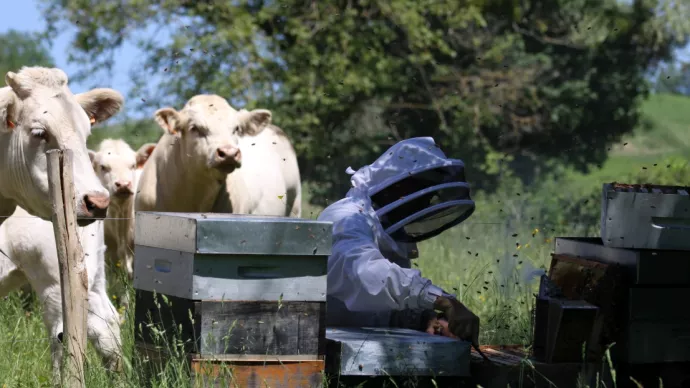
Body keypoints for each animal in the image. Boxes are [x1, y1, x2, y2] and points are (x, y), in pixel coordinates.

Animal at [0, 208, 121, 380]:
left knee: (60, 338)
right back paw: (116, 376)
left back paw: (60, 380)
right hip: (94, 272)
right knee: (107, 321)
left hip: (54, 284)